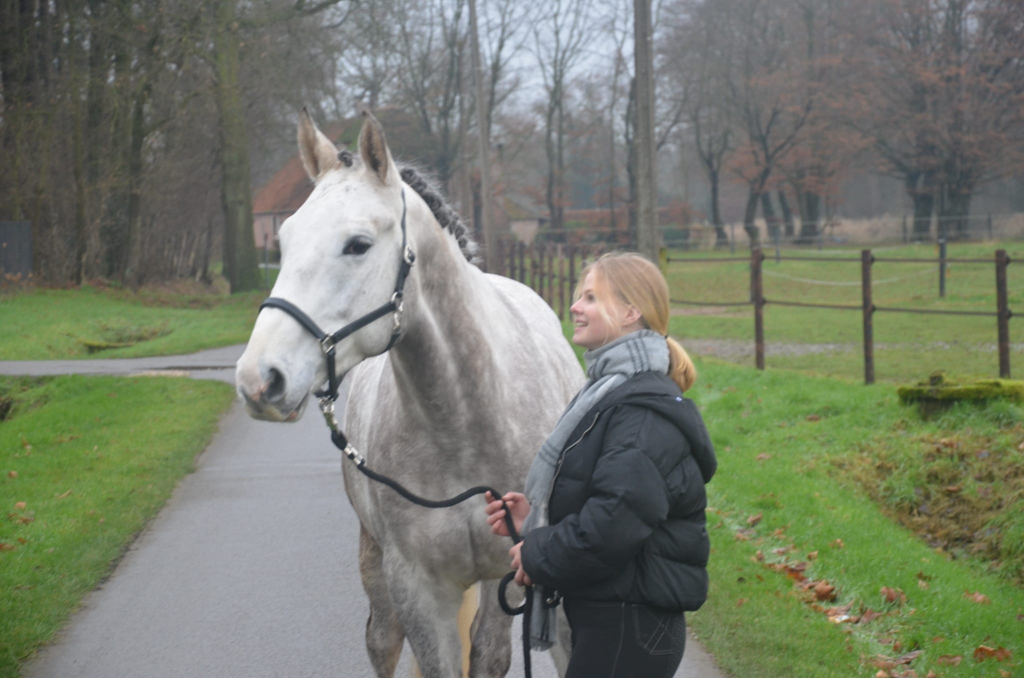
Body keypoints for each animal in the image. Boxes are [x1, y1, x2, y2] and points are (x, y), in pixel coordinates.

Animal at [234, 114, 585, 675]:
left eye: (357, 244)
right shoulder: (417, 587)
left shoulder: (520, 570)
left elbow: (492, 654)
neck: (464, 419)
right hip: (374, 560)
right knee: (381, 639)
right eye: (283, 242)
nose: (259, 379)